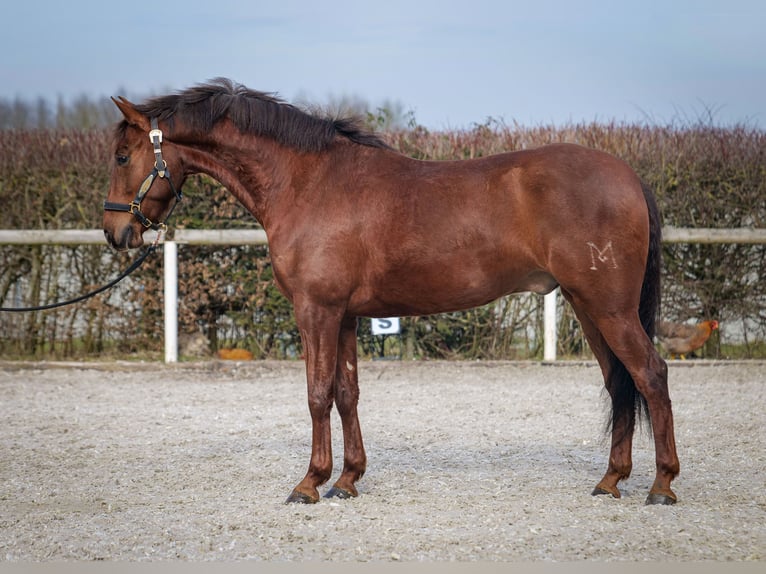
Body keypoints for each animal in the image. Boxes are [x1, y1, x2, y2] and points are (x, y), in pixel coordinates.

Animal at [100, 79, 680, 506]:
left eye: (123, 156)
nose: (115, 232)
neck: (308, 183)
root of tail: (628, 176)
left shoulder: (316, 311)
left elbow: (316, 394)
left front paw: (309, 483)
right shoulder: (346, 316)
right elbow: (347, 393)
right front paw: (347, 479)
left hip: (609, 308)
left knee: (650, 375)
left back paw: (661, 484)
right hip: (589, 308)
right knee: (619, 383)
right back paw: (611, 480)